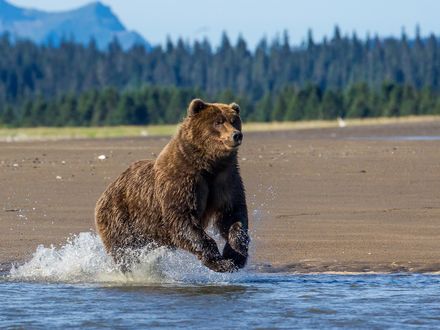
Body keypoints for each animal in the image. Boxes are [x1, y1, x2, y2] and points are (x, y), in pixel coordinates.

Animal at [95, 98, 249, 274]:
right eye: (218, 122)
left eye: (234, 121)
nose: (236, 135)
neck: (208, 165)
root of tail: (105, 192)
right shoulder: (181, 181)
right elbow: (182, 219)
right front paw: (220, 262)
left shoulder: (226, 180)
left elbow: (233, 215)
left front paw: (235, 256)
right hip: (121, 217)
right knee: (125, 251)